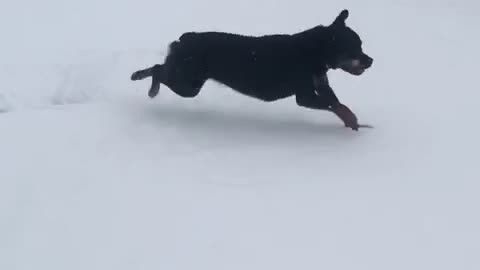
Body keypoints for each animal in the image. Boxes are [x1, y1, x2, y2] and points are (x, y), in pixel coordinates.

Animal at [132, 9, 376, 130]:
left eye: (361, 46)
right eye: (354, 49)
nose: (371, 60)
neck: (317, 51)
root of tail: (185, 38)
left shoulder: (322, 86)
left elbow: (337, 104)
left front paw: (353, 123)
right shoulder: (305, 95)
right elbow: (335, 105)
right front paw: (353, 120)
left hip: (188, 80)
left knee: (161, 67)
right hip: (188, 84)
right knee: (158, 69)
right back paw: (149, 87)